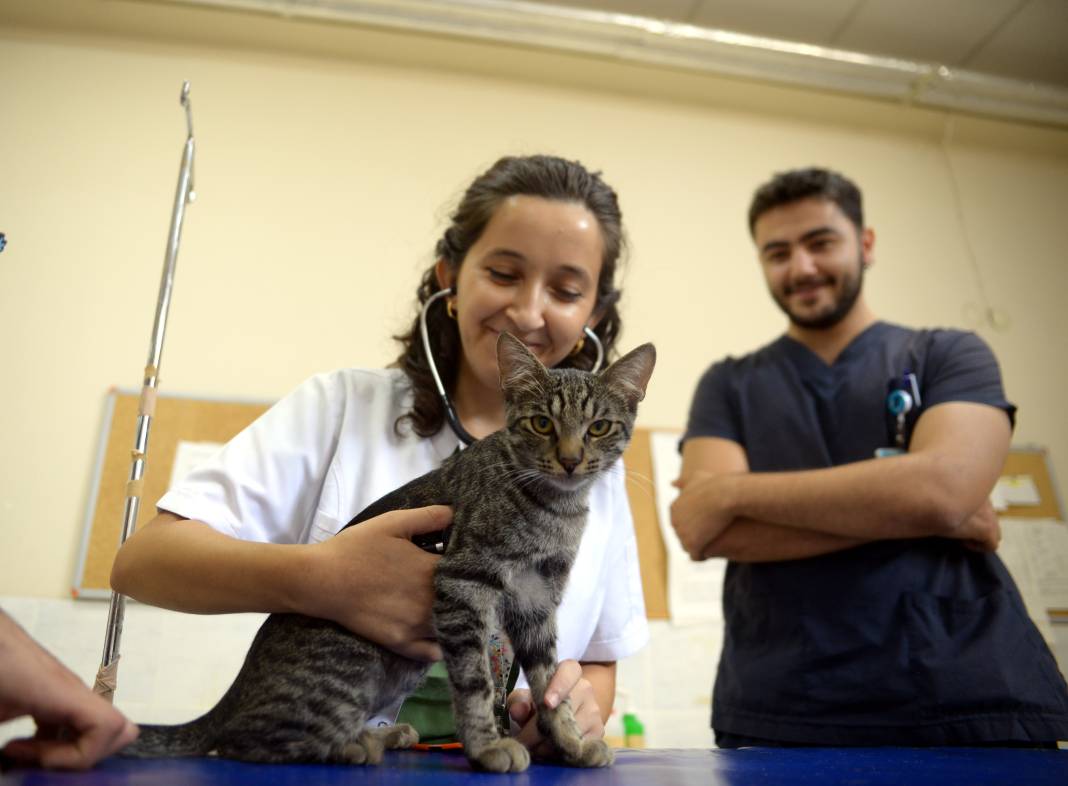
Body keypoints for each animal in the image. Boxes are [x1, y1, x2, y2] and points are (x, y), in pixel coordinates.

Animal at [122, 333, 653, 773]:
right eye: (542, 423)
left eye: (599, 427)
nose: (570, 459)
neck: (555, 510)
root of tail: (231, 697)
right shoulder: (465, 582)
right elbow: (475, 682)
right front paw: (487, 747)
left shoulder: (537, 600)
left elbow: (549, 683)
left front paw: (570, 741)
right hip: (355, 666)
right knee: (242, 741)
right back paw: (357, 745)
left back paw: (384, 734)